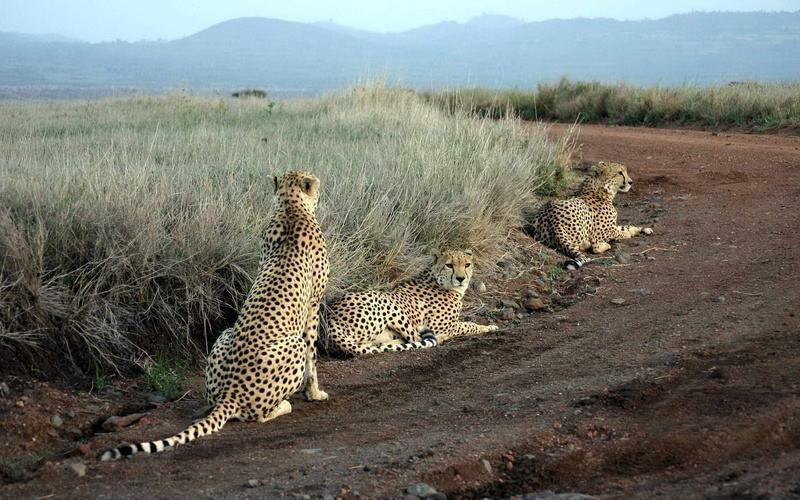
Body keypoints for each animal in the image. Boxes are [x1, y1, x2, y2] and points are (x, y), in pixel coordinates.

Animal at [100, 171, 329, 460]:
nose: (321, 190)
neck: (291, 208)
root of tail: (231, 391)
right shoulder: (313, 306)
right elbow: (313, 354)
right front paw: (315, 393)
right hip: (292, 345)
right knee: (259, 415)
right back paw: (284, 406)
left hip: (226, 335)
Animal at [323, 249, 498, 357]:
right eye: (449, 265)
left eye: (467, 264)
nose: (461, 278)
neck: (438, 280)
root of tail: (330, 318)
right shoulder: (440, 326)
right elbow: (468, 325)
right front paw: (488, 327)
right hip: (388, 304)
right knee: (415, 338)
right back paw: (439, 338)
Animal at [523, 161, 653, 270]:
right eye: (619, 172)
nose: (631, 182)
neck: (599, 191)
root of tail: (553, 222)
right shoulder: (601, 232)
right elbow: (619, 232)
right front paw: (626, 234)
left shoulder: (611, 226)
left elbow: (624, 226)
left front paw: (642, 229)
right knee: (592, 246)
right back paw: (605, 245)